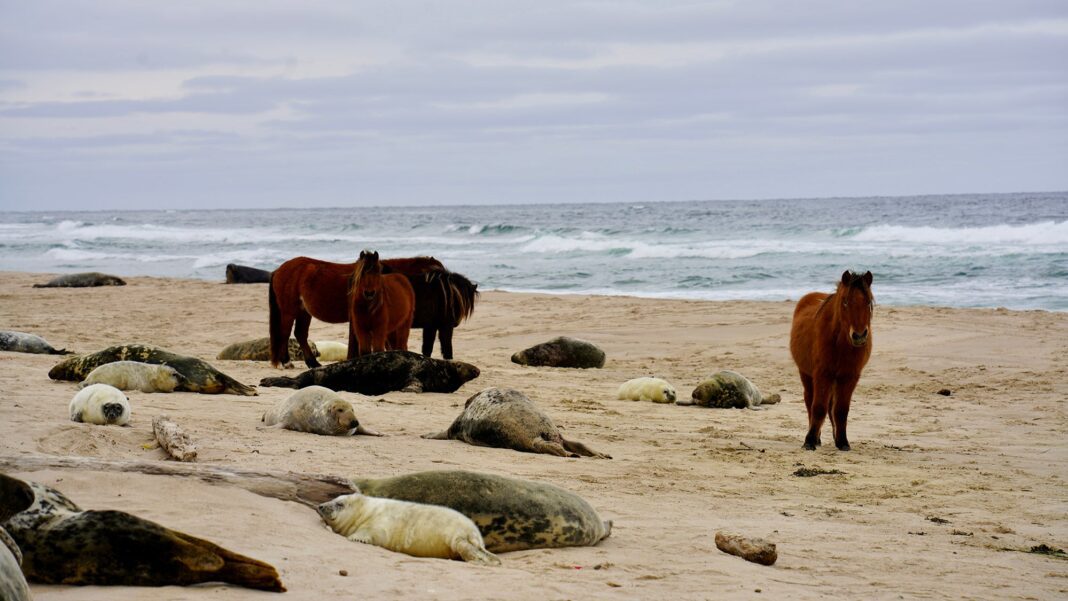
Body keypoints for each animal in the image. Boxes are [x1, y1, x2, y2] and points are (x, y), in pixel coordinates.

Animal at [268, 255, 442, 368]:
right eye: (438, 278)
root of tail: (278, 270)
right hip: (289, 311)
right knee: (285, 333)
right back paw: (286, 362)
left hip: (304, 312)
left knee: (300, 334)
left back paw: (313, 363)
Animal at [789, 270, 874, 451]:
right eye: (845, 302)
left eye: (869, 301)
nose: (859, 336)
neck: (841, 343)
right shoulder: (823, 374)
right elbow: (818, 407)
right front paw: (810, 441)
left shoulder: (849, 377)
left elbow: (840, 410)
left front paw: (842, 442)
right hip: (806, 374)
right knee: (810, 401)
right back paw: (817, 438)